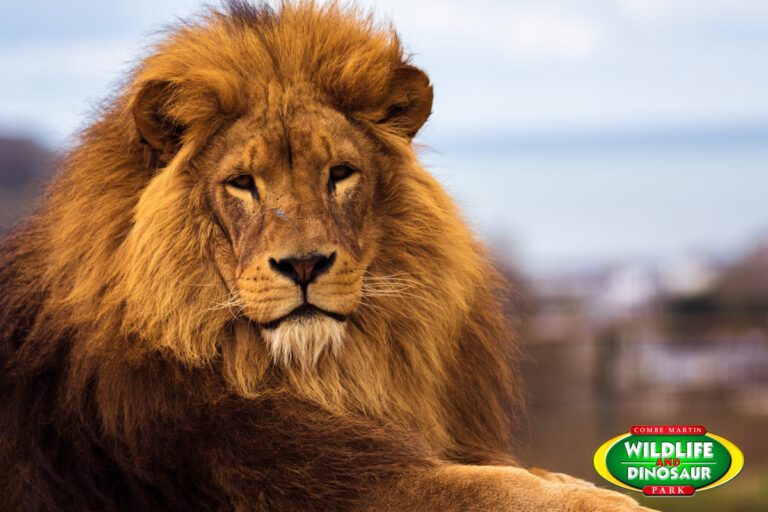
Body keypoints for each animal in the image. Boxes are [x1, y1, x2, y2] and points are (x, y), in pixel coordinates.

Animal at [0, 2, 654, 511]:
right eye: (242, 183)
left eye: (339, 174)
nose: (304, 265)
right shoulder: (316, 479)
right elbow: (489, 488)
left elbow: (528, 475)